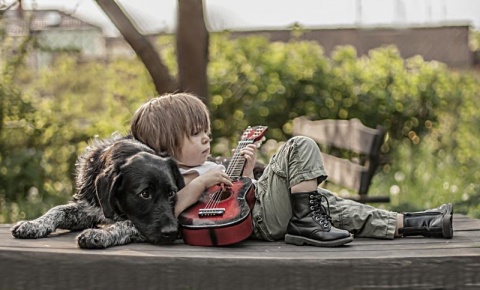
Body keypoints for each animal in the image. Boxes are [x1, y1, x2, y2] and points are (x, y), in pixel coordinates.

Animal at [11, 135, 184, 248]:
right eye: (145, 194)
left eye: (171, 193)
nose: (173, 232)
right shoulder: (87, 209)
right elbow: (57, 210)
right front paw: (33, 224)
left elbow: (126, 223)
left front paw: (99, 234)